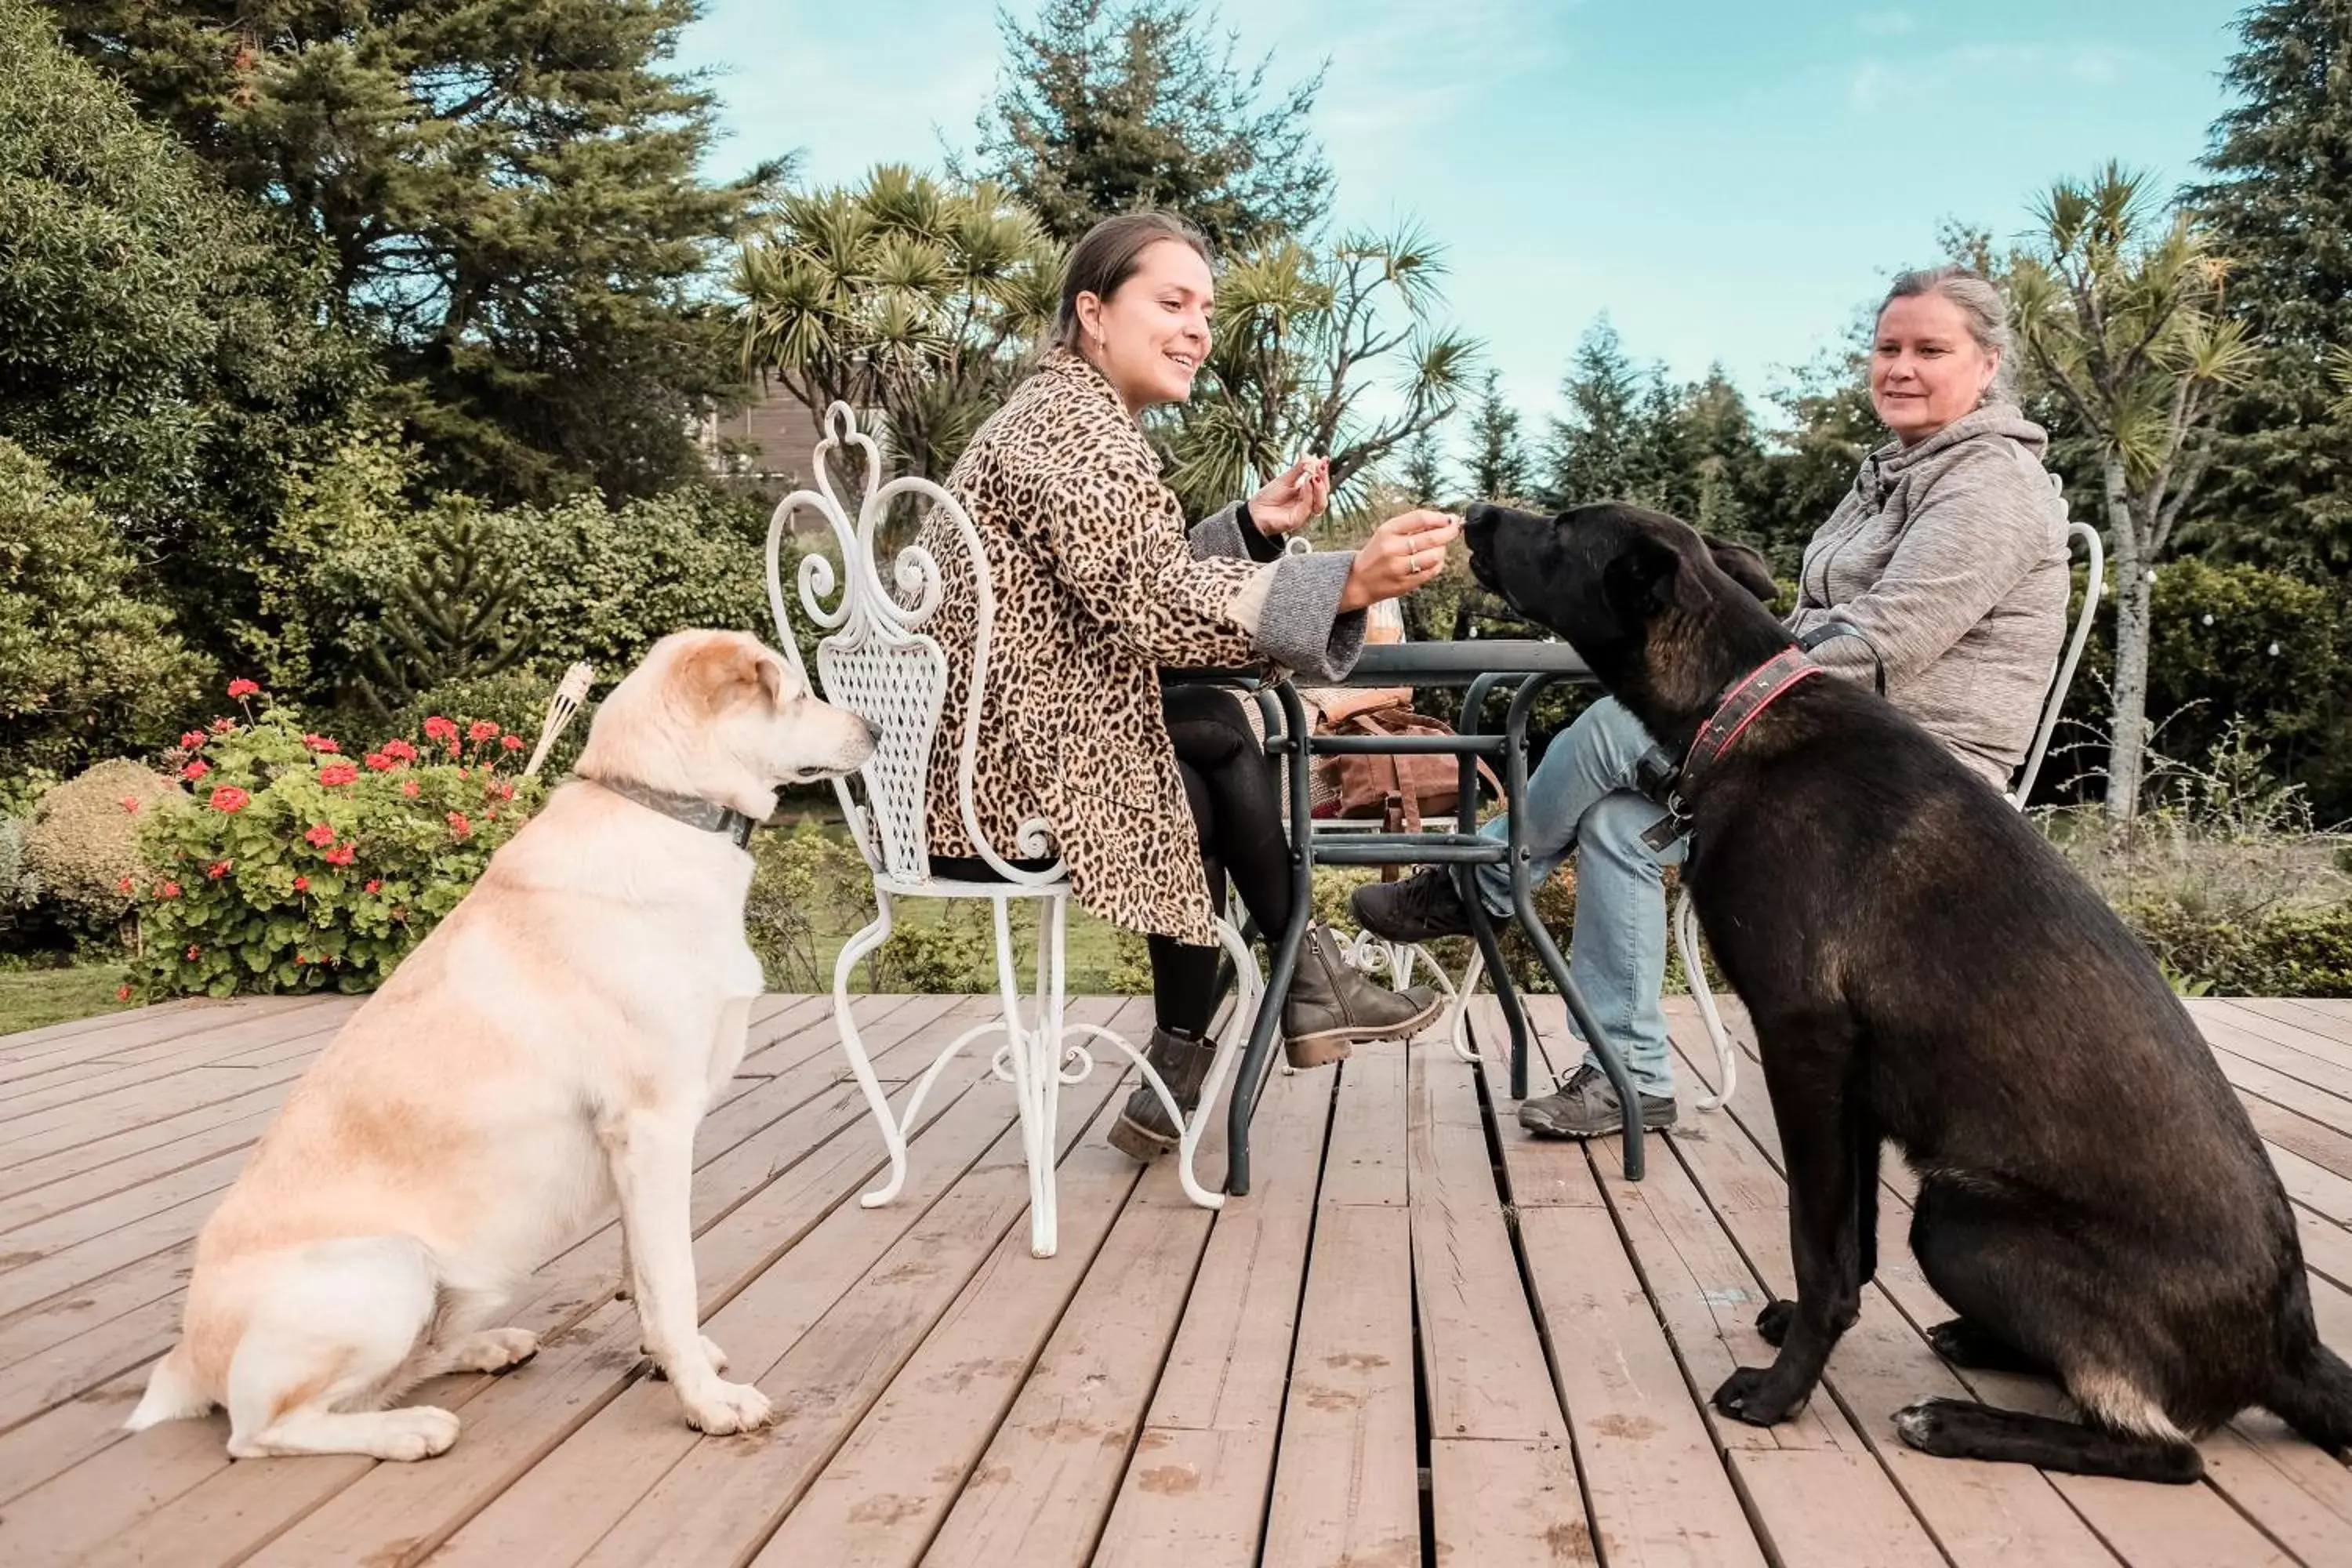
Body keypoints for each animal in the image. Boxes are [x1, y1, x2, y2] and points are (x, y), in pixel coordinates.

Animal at [124, 625, 875, 1457]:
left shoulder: (636, 1146)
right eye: (797, 693)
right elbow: (672, 1280)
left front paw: (668, 1362)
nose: (876, 730)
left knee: (394, 1373)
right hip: (388, 1270)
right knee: (262, 1432)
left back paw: (484, 1351)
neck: (663, 810)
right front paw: (707, 1403)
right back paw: (410, 1430)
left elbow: (641, 1275)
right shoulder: (653, 1127)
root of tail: (185, 1360)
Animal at [1468, 500, 2352, 1486]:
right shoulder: (1850, 1083)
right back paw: (1981, 1342)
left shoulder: (1803, 1045)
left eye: (1559, 531)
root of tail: (2289, 1340)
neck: (1739, 708)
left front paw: (1781, 1392)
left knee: (2165, 1449)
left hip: (1960, 1212)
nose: (1473, 515)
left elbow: (1819, 1249)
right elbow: (1852, 1242)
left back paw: (1956, 1420)